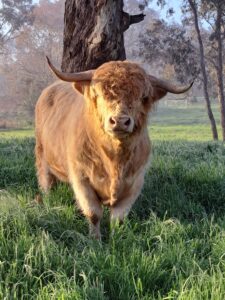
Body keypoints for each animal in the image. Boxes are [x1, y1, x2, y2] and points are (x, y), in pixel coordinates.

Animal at [34, 58, 192, 240]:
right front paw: (95, 240)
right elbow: (93, 214)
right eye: (98, 94)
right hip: (42, 158)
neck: (115, 160)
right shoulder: (81, 178)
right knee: (46, 185)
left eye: (143, 96)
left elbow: (118, 218)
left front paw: (117, 239)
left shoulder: (135, 182)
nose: (120, 121)